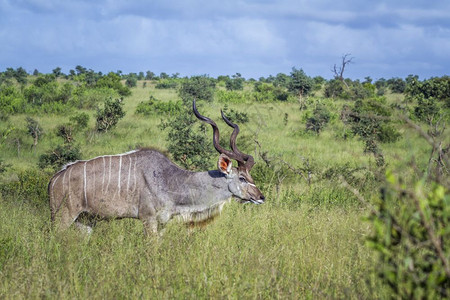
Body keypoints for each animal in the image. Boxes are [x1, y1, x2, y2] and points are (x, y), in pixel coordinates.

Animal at [48, 101, 264, 234]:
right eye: (242, 178)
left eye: (251, 176)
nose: (261, 197)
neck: (171, 180)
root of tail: (54, 179)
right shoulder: (148, 220)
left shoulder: (162, 223)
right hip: (63, 218)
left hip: (84, 222)